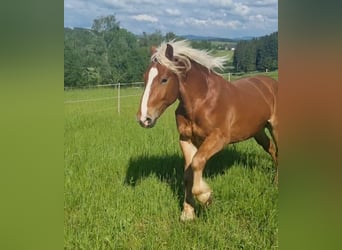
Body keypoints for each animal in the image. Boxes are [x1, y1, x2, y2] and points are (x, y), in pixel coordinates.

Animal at [136, 39, 278, 221]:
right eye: (145, 78)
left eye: (164, 79)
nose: (144, 118)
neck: (202, 101)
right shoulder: (186, 139)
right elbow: (188, 173)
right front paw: (188, 213)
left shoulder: (218, 138)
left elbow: (197, 163)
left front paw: (206, 197)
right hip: (258, 132)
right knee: (273, 150)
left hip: (276, 128)